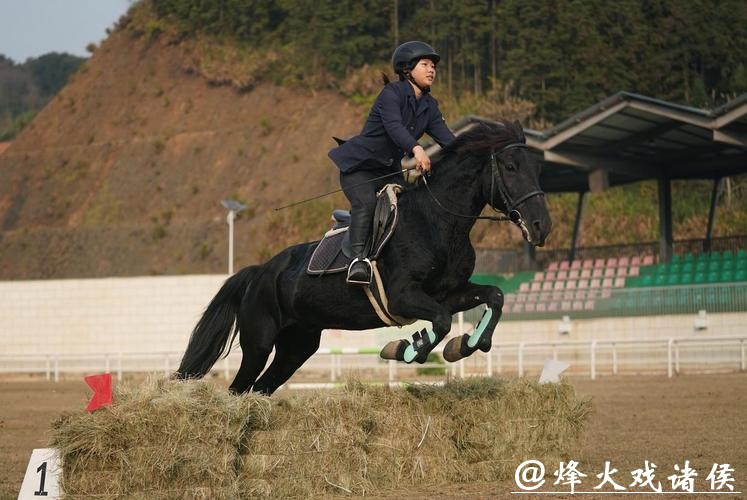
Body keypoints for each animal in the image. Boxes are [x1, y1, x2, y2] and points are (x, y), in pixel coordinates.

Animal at [175, 119, 551, 394]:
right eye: (511, 166)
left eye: (537, 168)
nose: (541, 226)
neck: (437, 221)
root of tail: (259, 271)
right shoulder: (404, 296)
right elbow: (442, 321)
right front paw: (406, 348)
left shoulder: (447, 292)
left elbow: (495, 296)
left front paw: (465, 344)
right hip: (259, 342)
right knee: (239, 388)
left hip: (297, 346)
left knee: (259, 388)